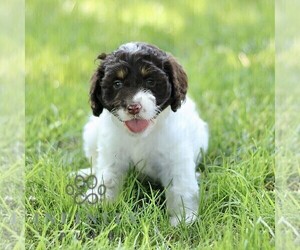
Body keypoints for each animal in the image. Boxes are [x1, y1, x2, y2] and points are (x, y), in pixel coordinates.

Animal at [81, 42, 210, 226]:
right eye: (117, 84)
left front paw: (183, 219)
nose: (133, 107)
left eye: (150, 81)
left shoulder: (176, 157)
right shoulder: (112, 154)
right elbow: (108, 178)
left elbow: (181, 186)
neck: (141, 136)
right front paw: (97, 203)